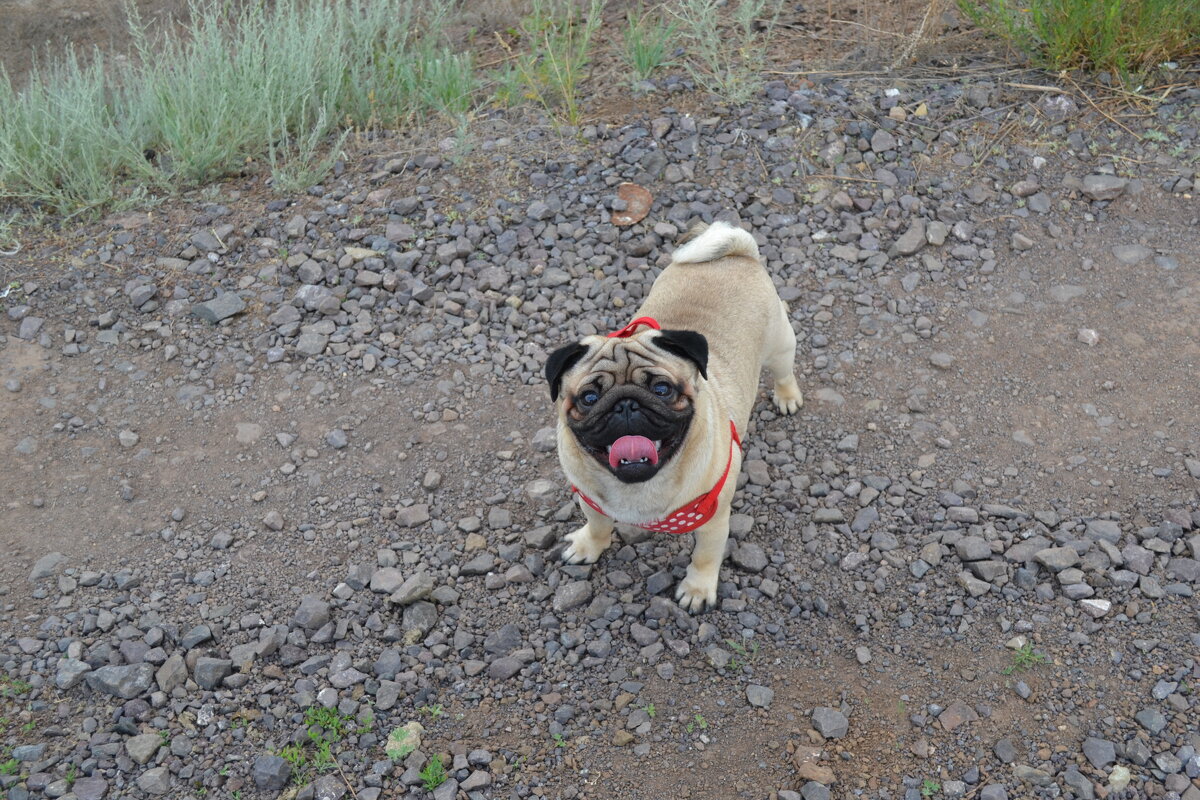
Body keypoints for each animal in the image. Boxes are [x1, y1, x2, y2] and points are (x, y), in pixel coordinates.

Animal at [549, 219, 801, 614]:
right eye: (589, 398)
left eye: (663, 389)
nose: (625, 404)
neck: (636, 486)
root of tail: (736, 254)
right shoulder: (590, 500)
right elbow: (599, 526)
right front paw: (589, 546)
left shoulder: (713, 520)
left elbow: (705, 557)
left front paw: (697, 590)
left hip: (780, 346)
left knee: (784, 371)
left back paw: (787, 397)